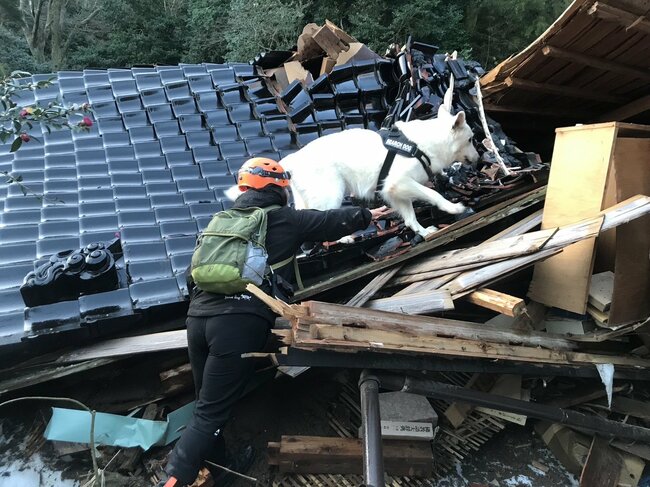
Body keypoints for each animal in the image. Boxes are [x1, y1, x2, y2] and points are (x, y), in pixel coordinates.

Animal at [278, 105, 476, 238]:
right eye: (470, 139)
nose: (479, 158)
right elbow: (433, 194)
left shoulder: (395, 193)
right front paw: (452, 208)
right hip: (332, 195)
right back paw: (344, 238)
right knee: (323, 220)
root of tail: (293, 159)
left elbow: (410, 219)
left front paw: (424, 232)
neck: (422, 145)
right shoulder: (398, 183)